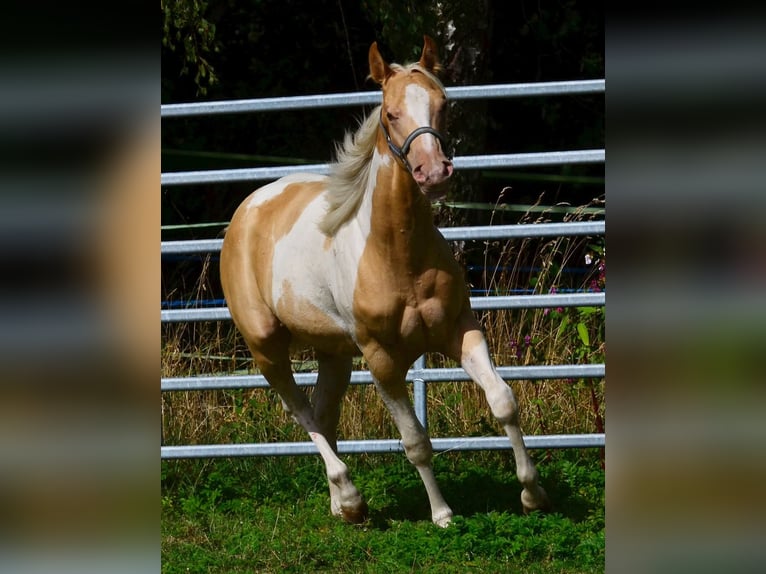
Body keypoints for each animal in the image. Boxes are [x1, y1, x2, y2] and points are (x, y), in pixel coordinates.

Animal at [220, 36, 550, 527]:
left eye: (443, 105)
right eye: (391, 113)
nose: (433, 172)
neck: (398, 255)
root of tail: (250, 207)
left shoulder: (461, 330)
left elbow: (504, 401)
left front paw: (532, 494)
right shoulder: (381, 360)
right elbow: (415, 441)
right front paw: (442, 514)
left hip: (334, 352)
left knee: (323, 412)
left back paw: (342, 506)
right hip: (266, 347)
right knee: (300, 412)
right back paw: (352, 496)